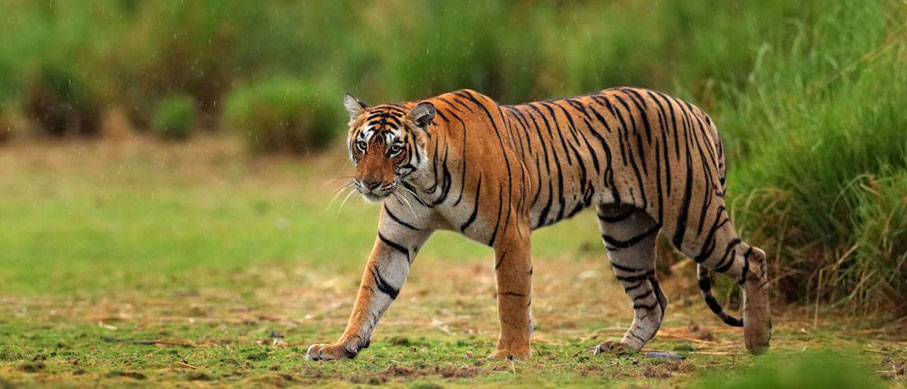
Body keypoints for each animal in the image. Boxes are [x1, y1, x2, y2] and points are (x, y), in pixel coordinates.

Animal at [306, 88, 772, 360]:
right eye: (362, 145)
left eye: (394, 149)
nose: (369, 183)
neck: (420, 181)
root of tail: (696, 110)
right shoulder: (396, 239)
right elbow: (371, 292)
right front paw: (341, 346)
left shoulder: (511, 230)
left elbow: (512, 296)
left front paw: (511, 353)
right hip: (624, 234)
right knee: (653, 301)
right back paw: (621, 348)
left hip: (693, 217)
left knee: (753, 258)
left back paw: (758, 340)